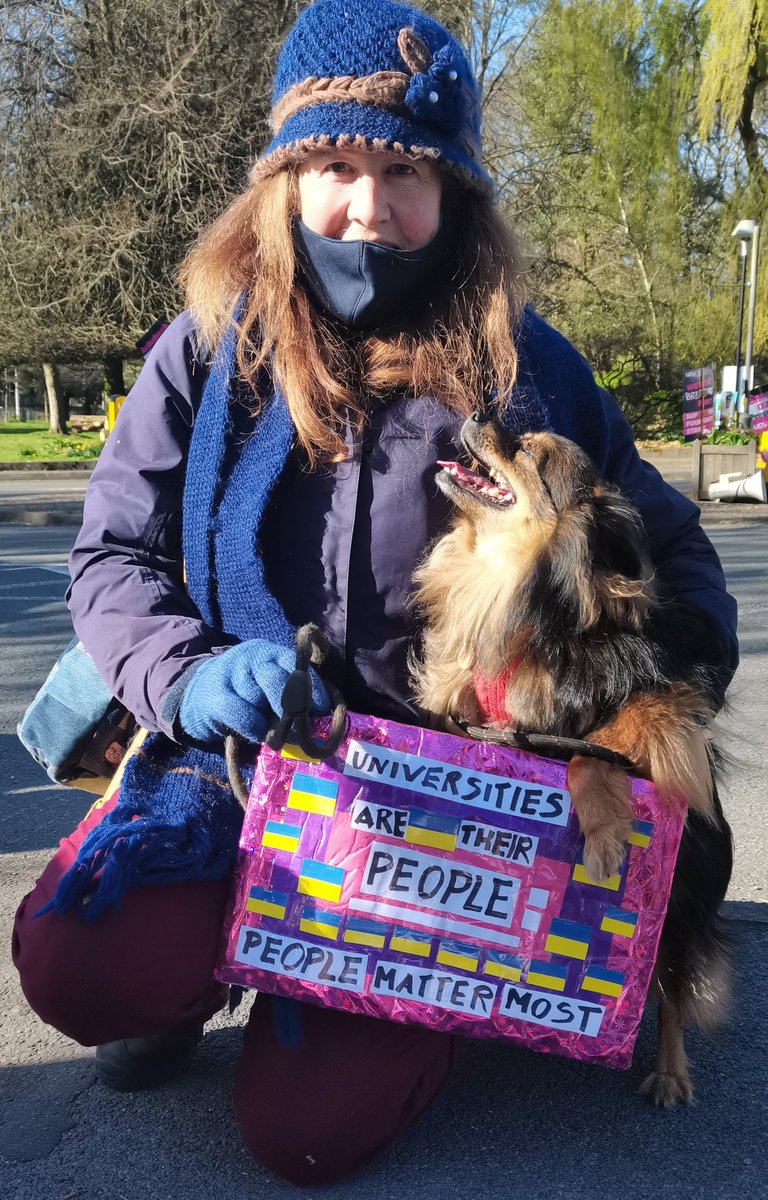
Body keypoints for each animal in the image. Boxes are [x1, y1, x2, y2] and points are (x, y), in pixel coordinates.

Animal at [410, 412, 734, 1104]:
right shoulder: (470, 712)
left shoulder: (662, 719)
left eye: (529, 452)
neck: (506, 585)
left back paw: (670, 1071)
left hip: (682, 900)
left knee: (672, 989)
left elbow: (596, 752)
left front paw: (605, 833)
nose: (477, 414)